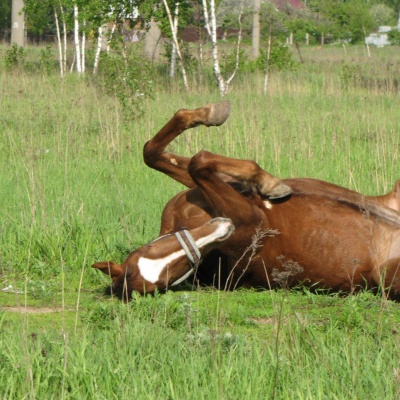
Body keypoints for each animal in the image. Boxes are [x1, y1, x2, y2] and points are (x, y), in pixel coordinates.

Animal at [93, 101, 400, 302]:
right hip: (386, 279)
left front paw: (209, 114)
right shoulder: (251, 218)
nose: (221, 227)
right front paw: (271, 183)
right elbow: (198, 161)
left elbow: (155, 152)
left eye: (151, 249)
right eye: (168, 278)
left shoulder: (215, 190)